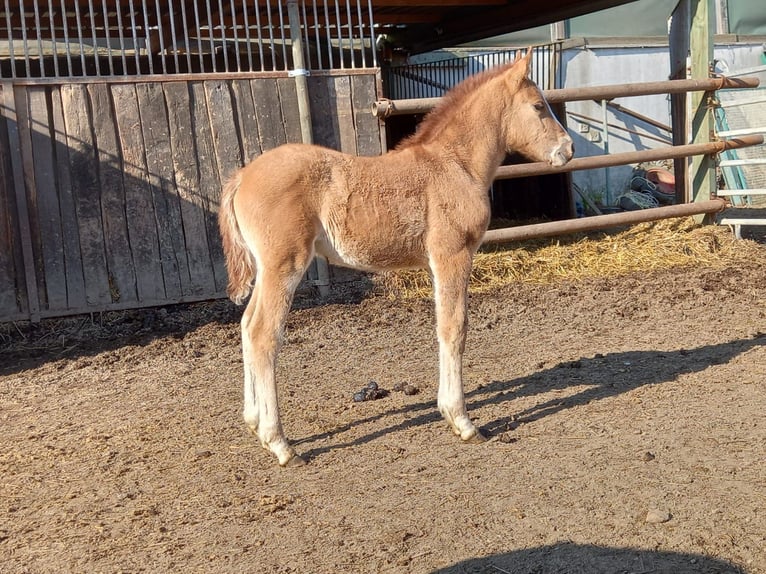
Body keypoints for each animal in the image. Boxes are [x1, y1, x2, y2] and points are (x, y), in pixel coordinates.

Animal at [218, 49, 574, 466]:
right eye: (538, 106)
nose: (568, 150)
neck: (456, 165)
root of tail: (242, 176)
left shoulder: (438, 263)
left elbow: (443, 326)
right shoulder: (452, 255)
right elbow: (454, 328)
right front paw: (462, 421)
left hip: (266, 269)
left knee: (246, 325)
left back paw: (254, 423)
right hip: (284, 265)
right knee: (263, 334)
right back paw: (280, 444)